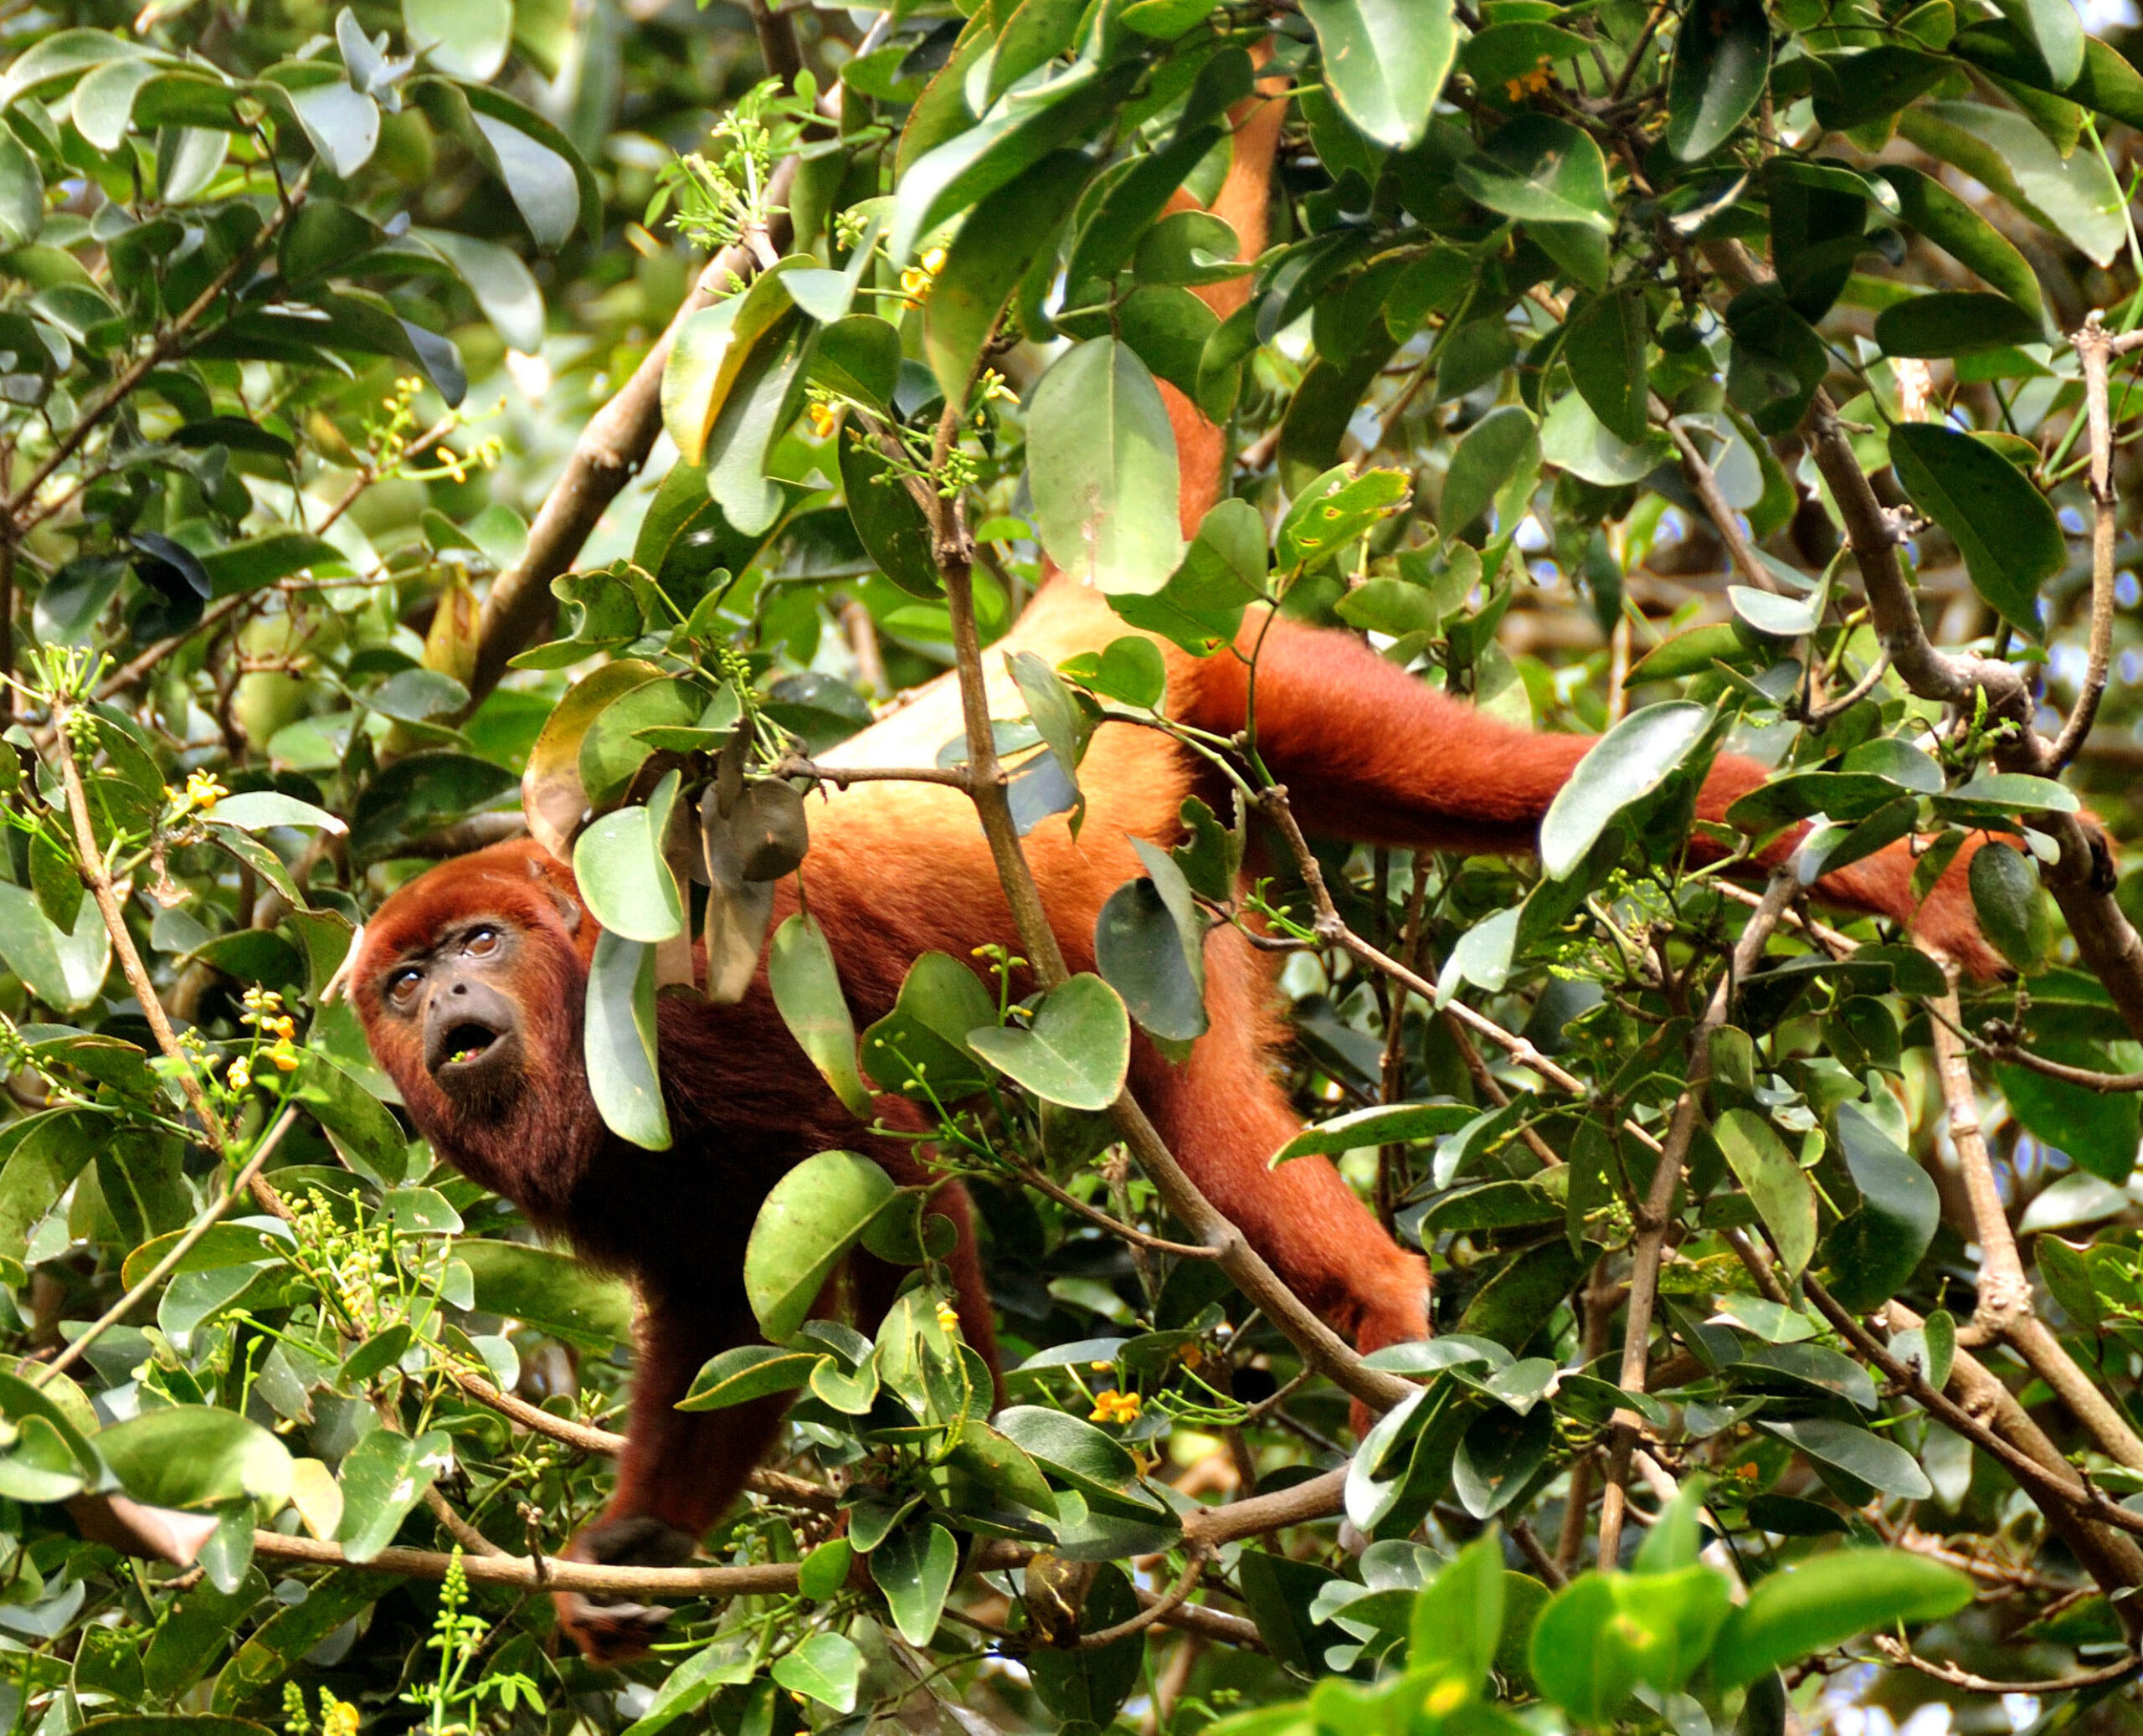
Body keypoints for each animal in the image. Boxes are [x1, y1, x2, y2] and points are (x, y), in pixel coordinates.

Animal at [349, 76, 2003, 1663]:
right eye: (406, 980)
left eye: (485, 942)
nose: (447, 1009)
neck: (583, 1009)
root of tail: (1070, 617)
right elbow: (717, 1303)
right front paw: (629, 1555)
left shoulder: (697, 1002)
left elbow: (898, 1188)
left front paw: (946, 1494)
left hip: (1236, 691)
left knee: (1424, 895)